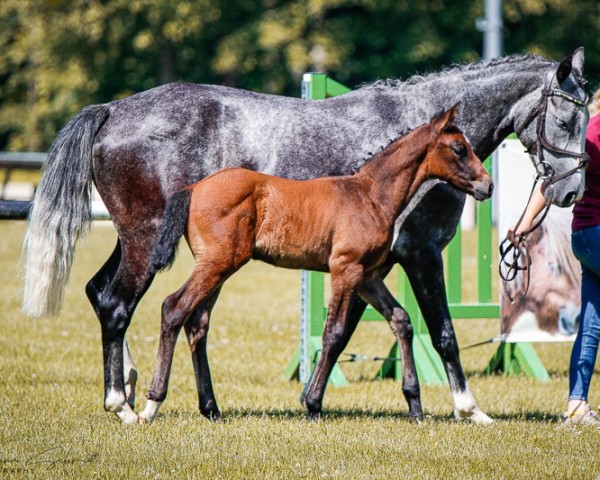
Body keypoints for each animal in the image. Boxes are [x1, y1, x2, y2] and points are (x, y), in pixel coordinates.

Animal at [139, 106, 492, 424]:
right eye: (459, 149)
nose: (487, 186)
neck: (370, 196)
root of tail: (192, 188)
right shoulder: (346, 268)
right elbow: (333, 333)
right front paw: (313, 405)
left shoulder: (368, 277)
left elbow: (401, 321)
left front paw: (415, 406)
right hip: (218, 263)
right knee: (173, 308)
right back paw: (150, 406)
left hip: (220, 267)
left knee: (197, 322)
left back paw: (211, 409)